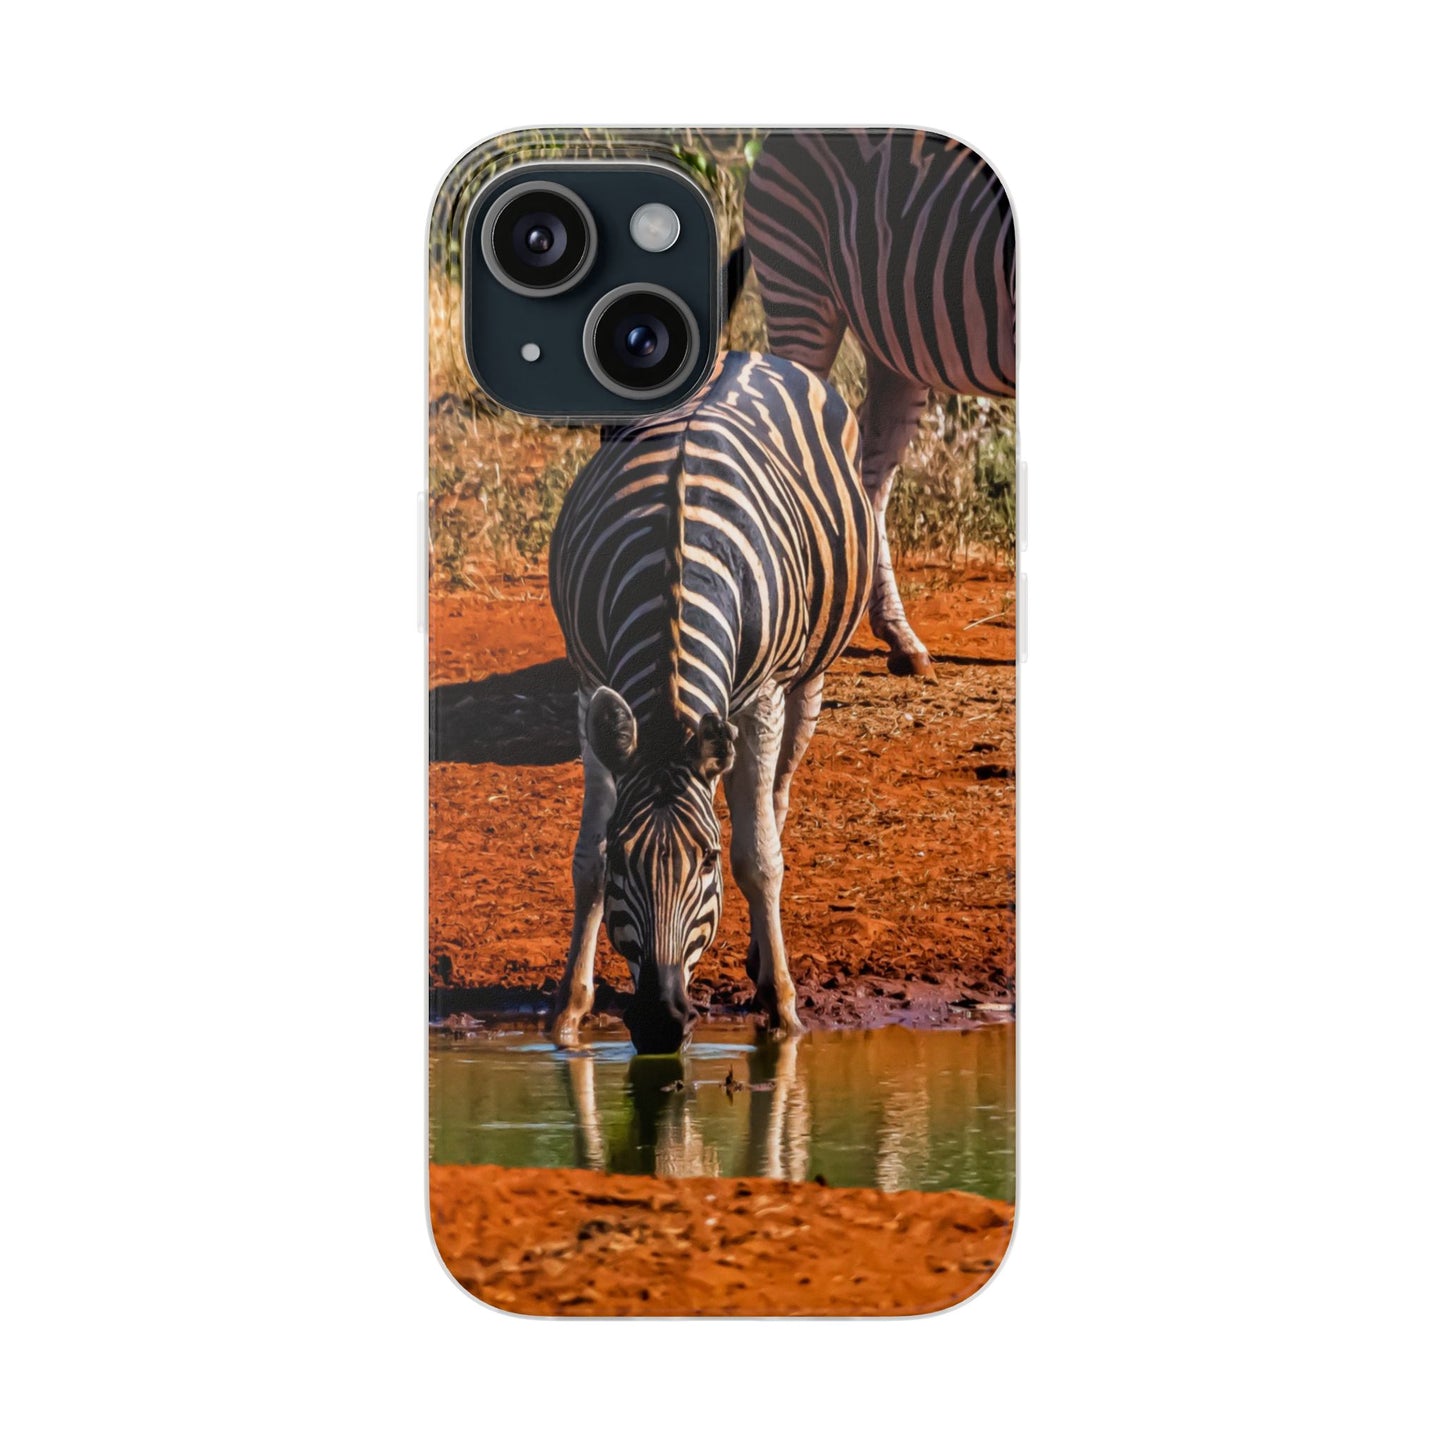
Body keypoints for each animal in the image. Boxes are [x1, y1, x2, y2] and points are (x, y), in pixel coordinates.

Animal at [549, 350, 876, 1053]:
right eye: (626, 856)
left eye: (707, 860)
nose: (660, 1021)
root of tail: (746, 353)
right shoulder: (589, 685)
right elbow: (586, 861)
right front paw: (569, 1010)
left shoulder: (762, 698)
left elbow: (759, 859)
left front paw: (783, 1009)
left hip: (806, 679)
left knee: (774, 802)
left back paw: (762, 958)